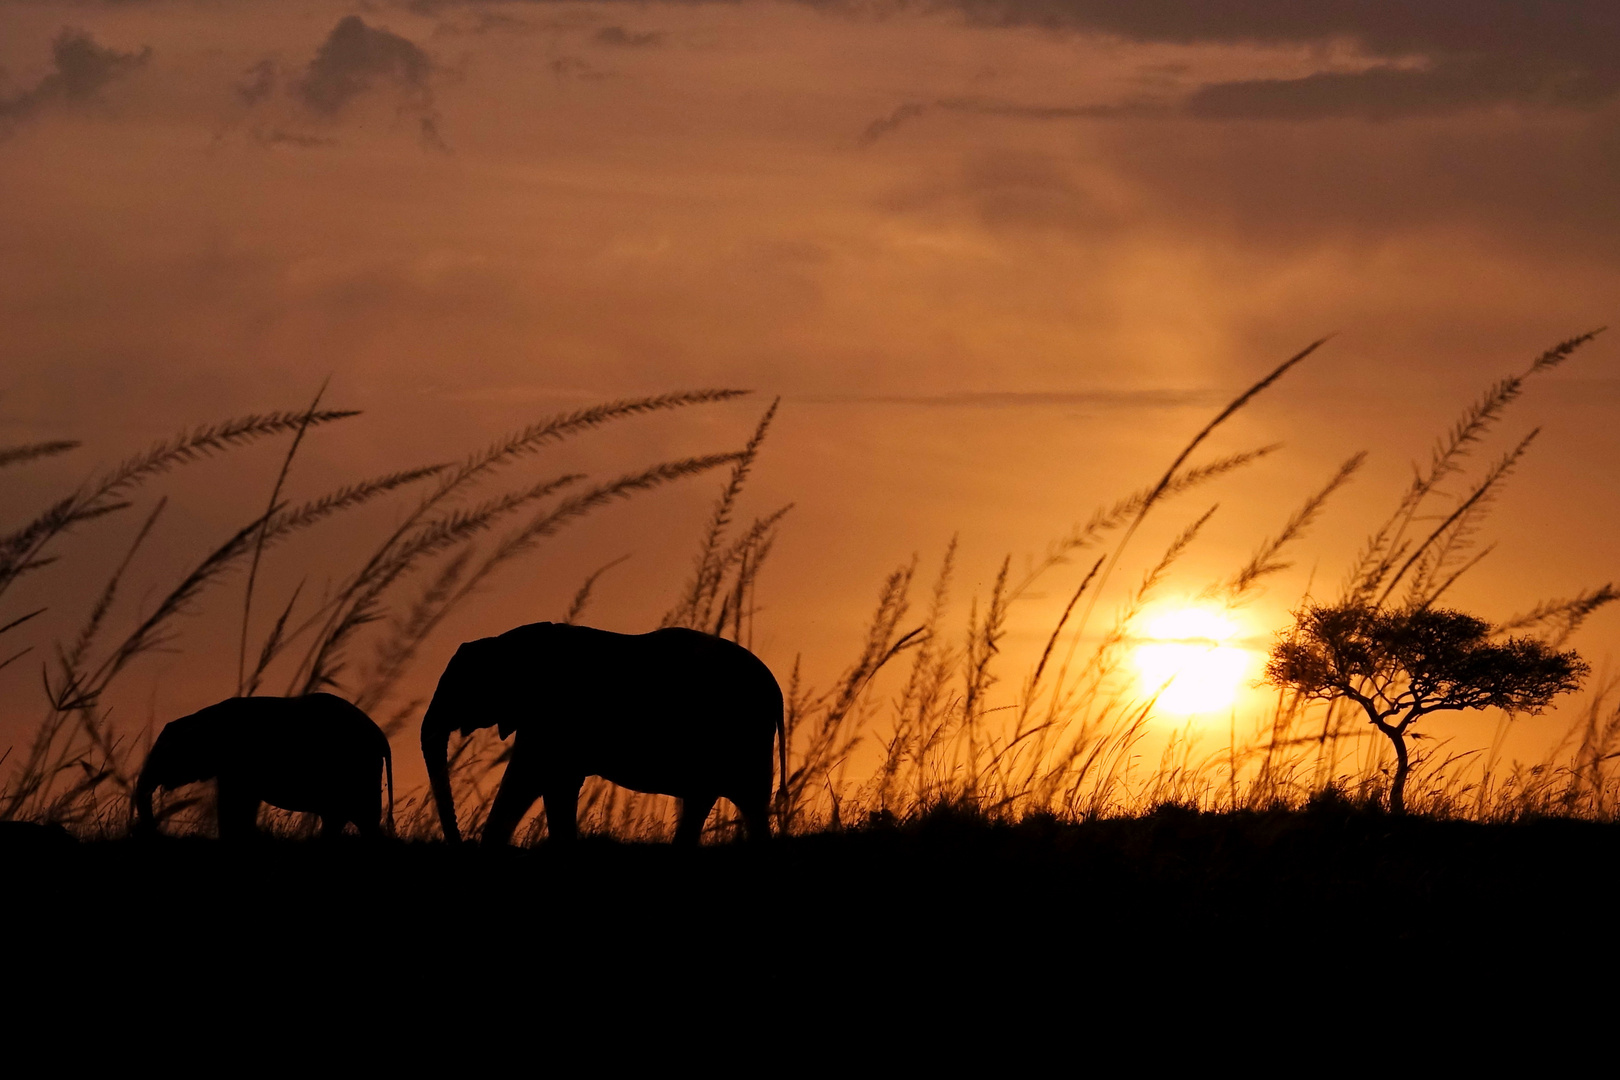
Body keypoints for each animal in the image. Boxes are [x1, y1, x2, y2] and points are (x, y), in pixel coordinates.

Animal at [136, 696, 395, 841]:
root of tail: (381, 737)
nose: (154, 832)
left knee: (359, 817)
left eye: (166, 753)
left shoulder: (237, 759)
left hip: (357, 769)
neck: (203, 716)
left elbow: (234, 802)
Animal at [421, 625, 787, 841]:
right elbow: (549, 784)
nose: (457, 842)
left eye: (461, 686)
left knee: (745, 803)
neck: (506, 643)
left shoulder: (552, 715)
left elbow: (531, 778)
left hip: (741, 735)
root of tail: (776, 690)